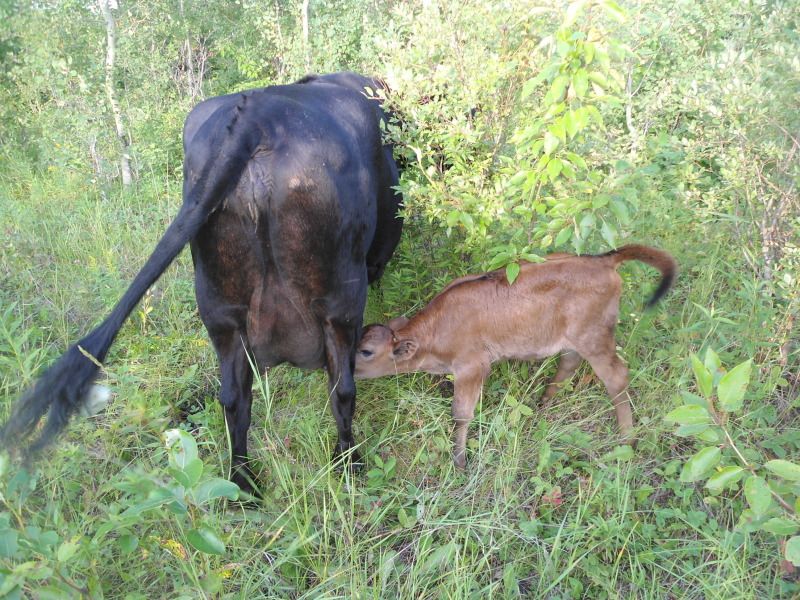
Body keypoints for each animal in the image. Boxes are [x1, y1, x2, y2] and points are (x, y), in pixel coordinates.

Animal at [0, 72, 404, 494]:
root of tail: (258, 116)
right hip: (340, 300)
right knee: (341, 389)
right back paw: (348, 465)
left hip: (220, 311)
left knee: (233, 400)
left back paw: (243, 485)